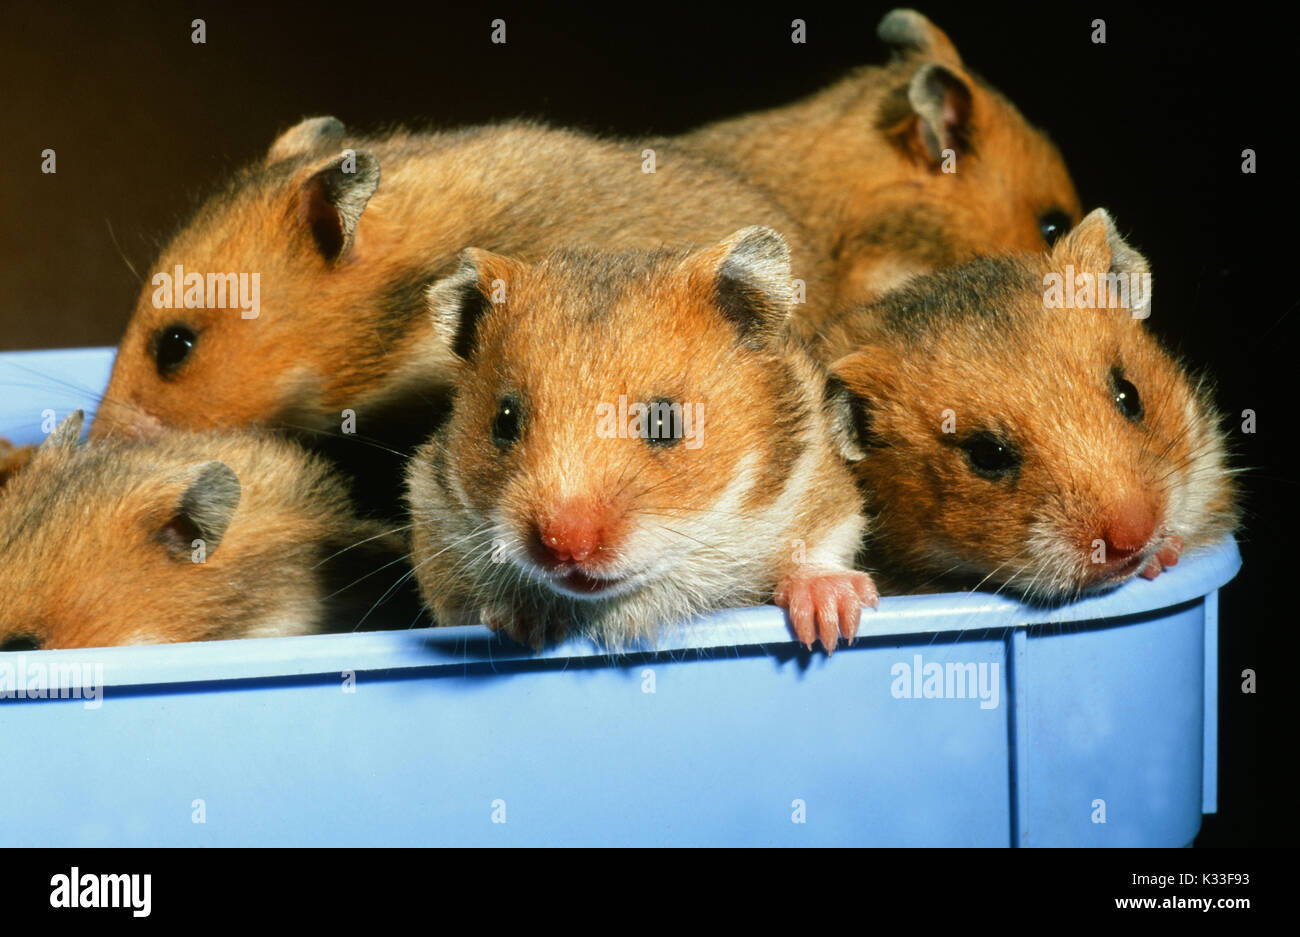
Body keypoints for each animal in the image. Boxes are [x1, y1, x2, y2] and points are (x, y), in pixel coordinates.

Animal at [406, 226, 876, 653]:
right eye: (504, 421)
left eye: (665, 421)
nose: (566, 547)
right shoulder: (433, 525)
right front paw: (521, 620)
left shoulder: (820, 482)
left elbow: (822, 543)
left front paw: (833, 624)